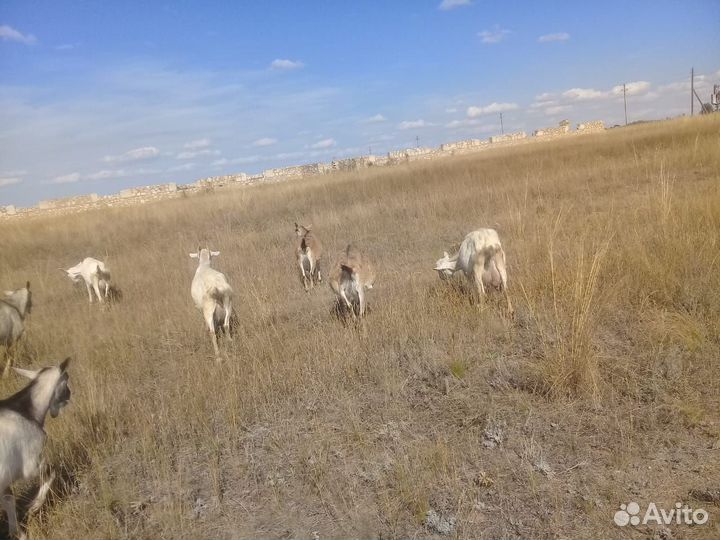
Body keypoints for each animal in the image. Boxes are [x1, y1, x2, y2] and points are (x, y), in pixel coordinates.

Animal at [0, 358, 71, 539]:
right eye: (66, 380)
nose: (70, 395)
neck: (26, 411)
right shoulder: (30, 465)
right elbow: (52, 471)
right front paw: (34, 506)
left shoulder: (5, 481)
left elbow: (9, 500)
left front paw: (18, 533)